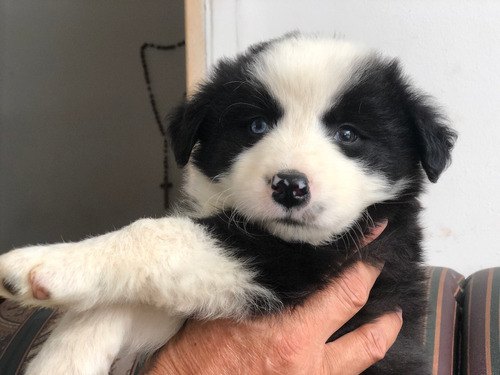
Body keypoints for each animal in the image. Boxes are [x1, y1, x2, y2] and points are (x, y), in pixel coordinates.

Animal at [0, 33, 456, 374]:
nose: (290, 186)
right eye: (256, 126)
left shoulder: (307, 259)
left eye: (348, 134)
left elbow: (158, 235)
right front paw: (65, 355)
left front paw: (47, 264)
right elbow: (132, 304)